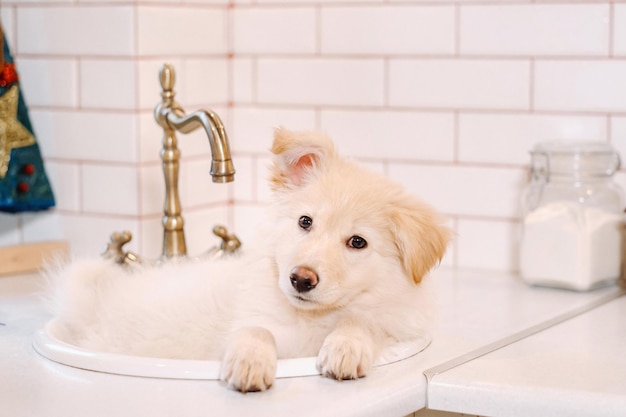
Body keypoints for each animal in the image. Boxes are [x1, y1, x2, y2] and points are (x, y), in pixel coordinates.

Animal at [47, 128, 448, 392]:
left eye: (357, 242)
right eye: (305, 222)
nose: (300, 279)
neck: (308, 319)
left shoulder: (393, 323)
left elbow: (361, 322)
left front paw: (345, 346)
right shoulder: (252, 318)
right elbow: (255, 330)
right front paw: (250, 362)